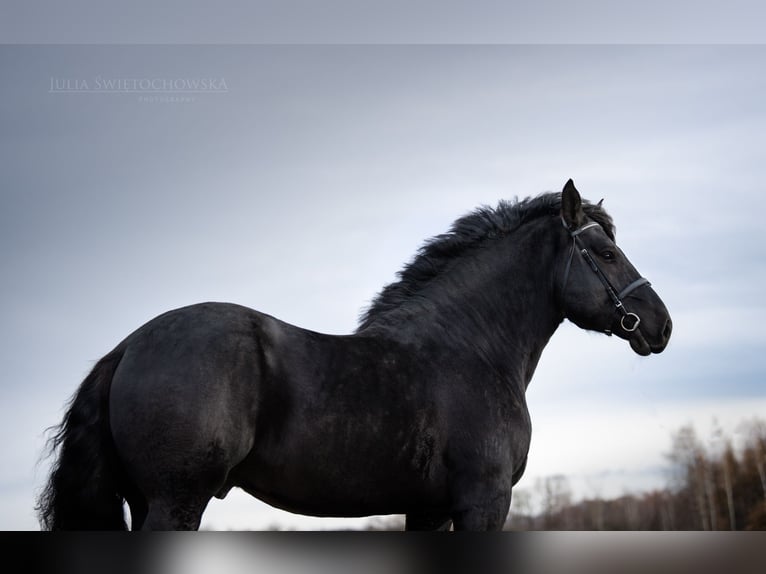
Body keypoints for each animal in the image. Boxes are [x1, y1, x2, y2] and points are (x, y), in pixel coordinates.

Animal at [37, 180, 672, 532]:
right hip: (175, 503)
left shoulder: (428, 510)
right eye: (606, 253)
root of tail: (126, 348)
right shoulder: (483, 502)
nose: (661, 325)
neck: (470, 347)